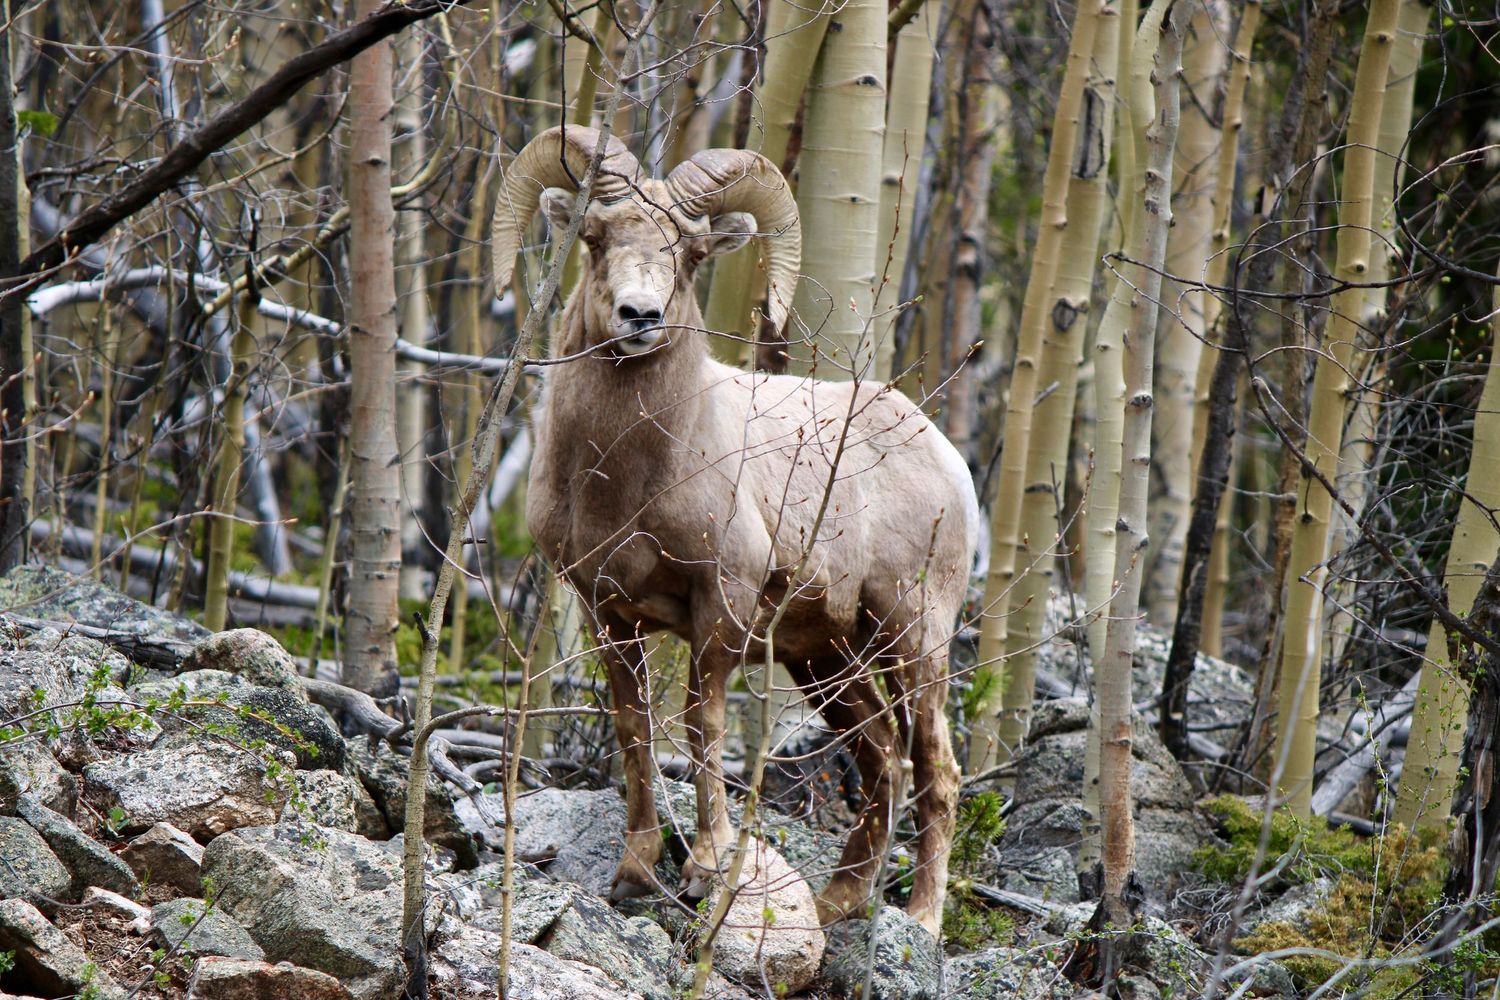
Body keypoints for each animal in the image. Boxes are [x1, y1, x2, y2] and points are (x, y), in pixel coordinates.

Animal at [491, 125, 979, 935]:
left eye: (689, 253)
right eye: (595, 237)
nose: (640, 316)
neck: (628, 481)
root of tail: (940, 452)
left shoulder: (721, 602)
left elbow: (702, 724)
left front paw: (708, 865)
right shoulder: (605, 611)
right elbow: (634, 729)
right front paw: (635, 873)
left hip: (913, 633)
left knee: (935, 771)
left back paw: (921, 919)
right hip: (828, 661)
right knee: (882, 759)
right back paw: (837, 904)